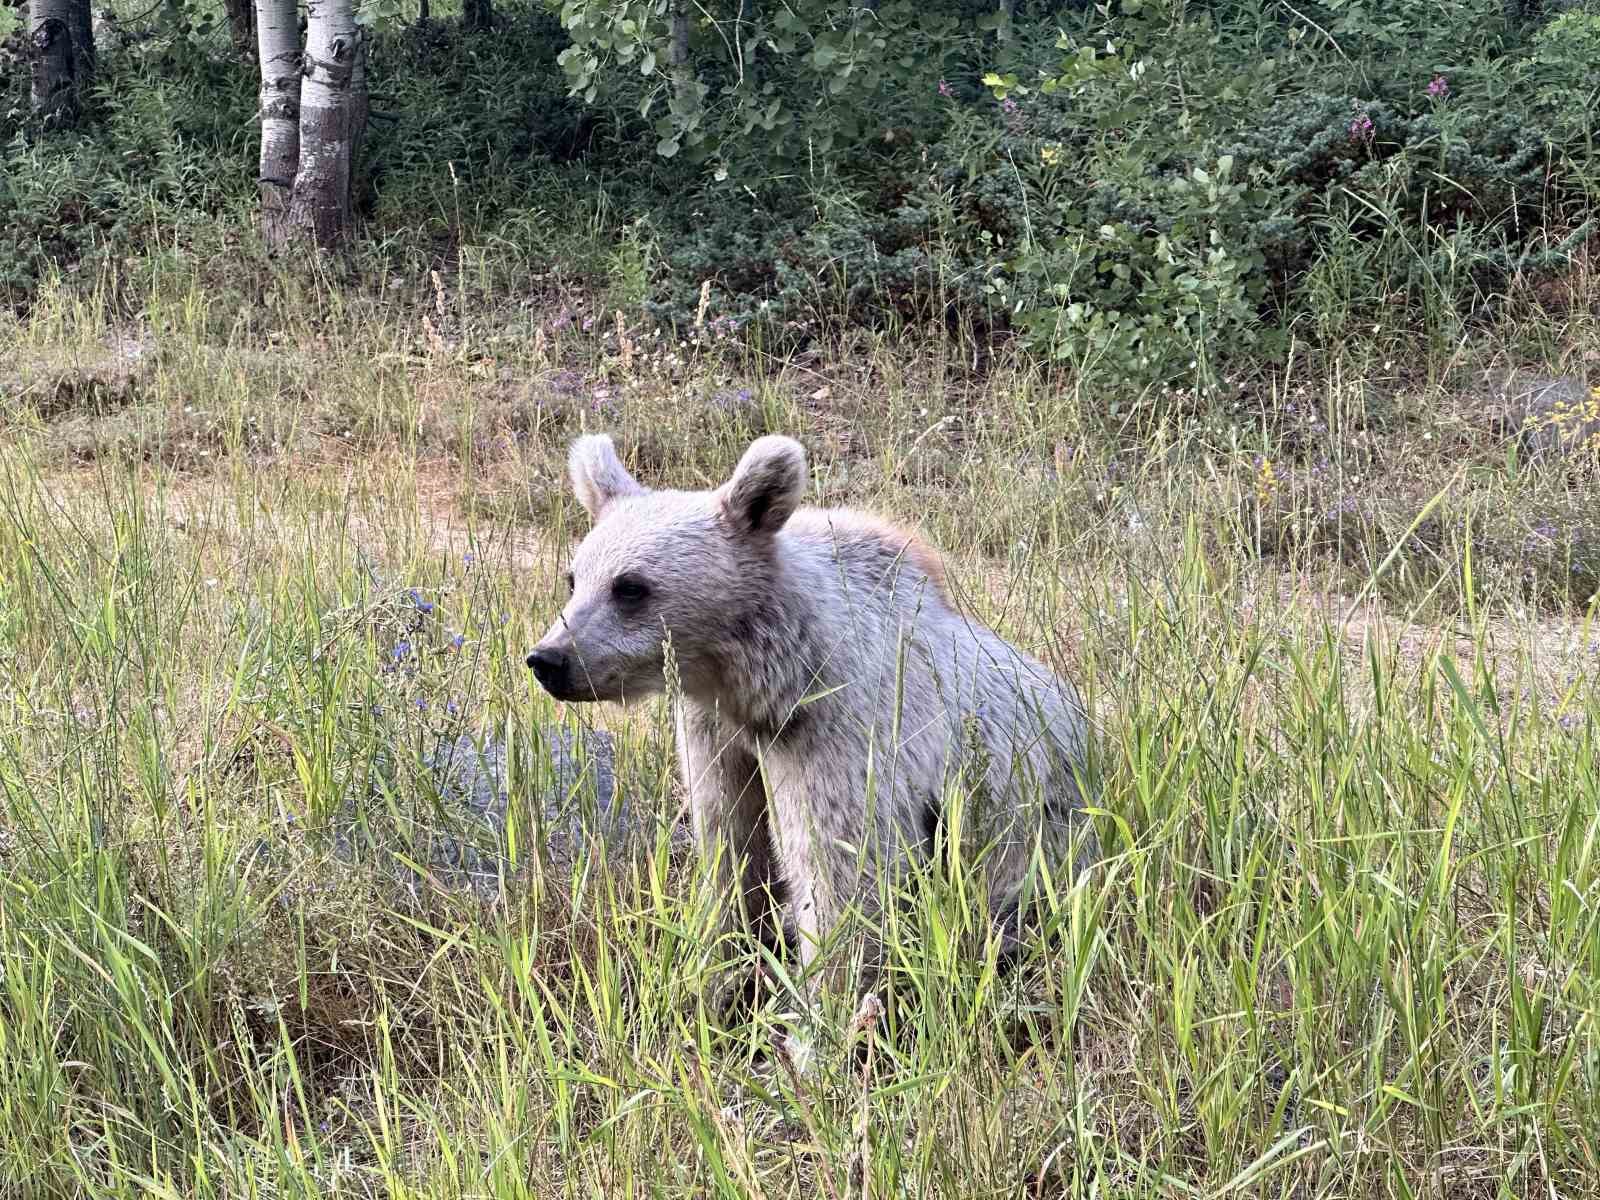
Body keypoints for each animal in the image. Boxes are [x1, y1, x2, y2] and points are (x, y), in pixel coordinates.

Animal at [524, 432, 1100, 1036]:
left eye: (630, 587)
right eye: (574, 577)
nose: (549, 659)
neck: (763, 685)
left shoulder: (838, 736)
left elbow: (839, 871)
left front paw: (818, 1016)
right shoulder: (714, 733)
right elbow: (729, 845)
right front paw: (715, 976)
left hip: (1034, 829)